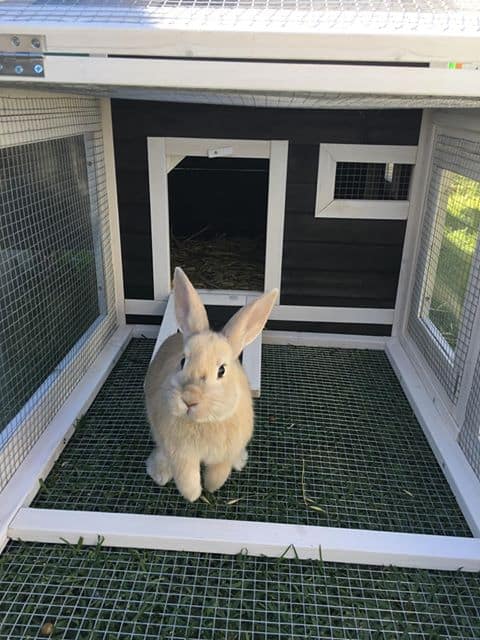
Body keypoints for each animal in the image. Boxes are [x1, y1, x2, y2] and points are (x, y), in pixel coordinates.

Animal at [144, 267, 278, 502]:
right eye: (183, 361)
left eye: (222, 370)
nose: (189, 398)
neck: (204, 422)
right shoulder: (181, 455)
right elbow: (187, 480)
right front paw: (194, 496)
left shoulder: (224, 454)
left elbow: (218, 474)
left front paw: (211, 488)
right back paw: (159, 473)